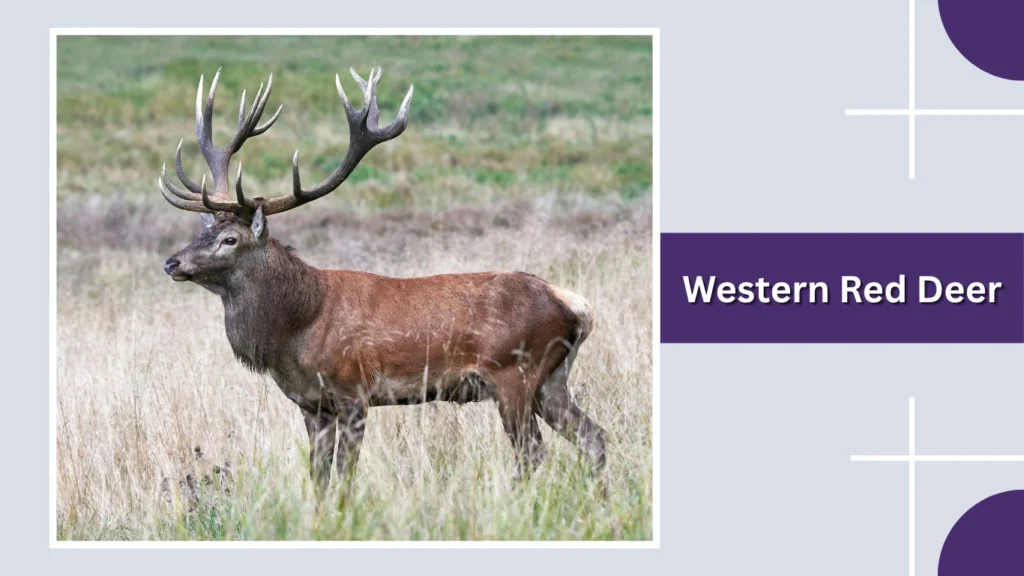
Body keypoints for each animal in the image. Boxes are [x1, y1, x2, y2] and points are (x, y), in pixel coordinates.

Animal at [157, 66, 609, 502]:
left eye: (230, 239)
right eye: (203, 231)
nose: (171, 262)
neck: (298, 328)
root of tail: (576, 306)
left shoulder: (354, 392)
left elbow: (344, 475)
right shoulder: (311, 405)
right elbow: (318, 477)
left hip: (515, 373)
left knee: (533, 451)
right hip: (552, 379)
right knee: (594, 436)